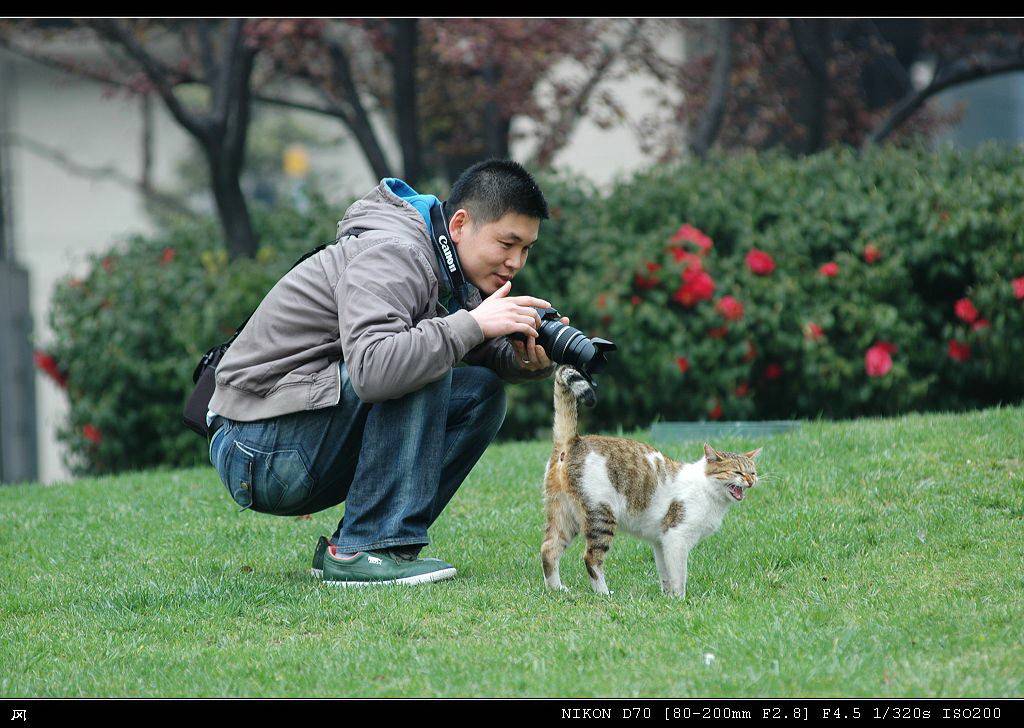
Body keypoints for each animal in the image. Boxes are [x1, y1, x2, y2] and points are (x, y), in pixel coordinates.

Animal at [544, 364, 761, 597]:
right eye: (737, 472)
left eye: (753, 472)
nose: (750, 481)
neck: (708, 491)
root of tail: (574, 441)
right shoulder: (676, 537)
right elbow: (679, 575)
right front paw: (680, 599)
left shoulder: (661, 541)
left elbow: (665, 573)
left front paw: (667, 597)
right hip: (601, 515)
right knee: (591, 558)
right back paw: (603, 593)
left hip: (564, 515)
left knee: (548, 550)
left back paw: (556, 590)